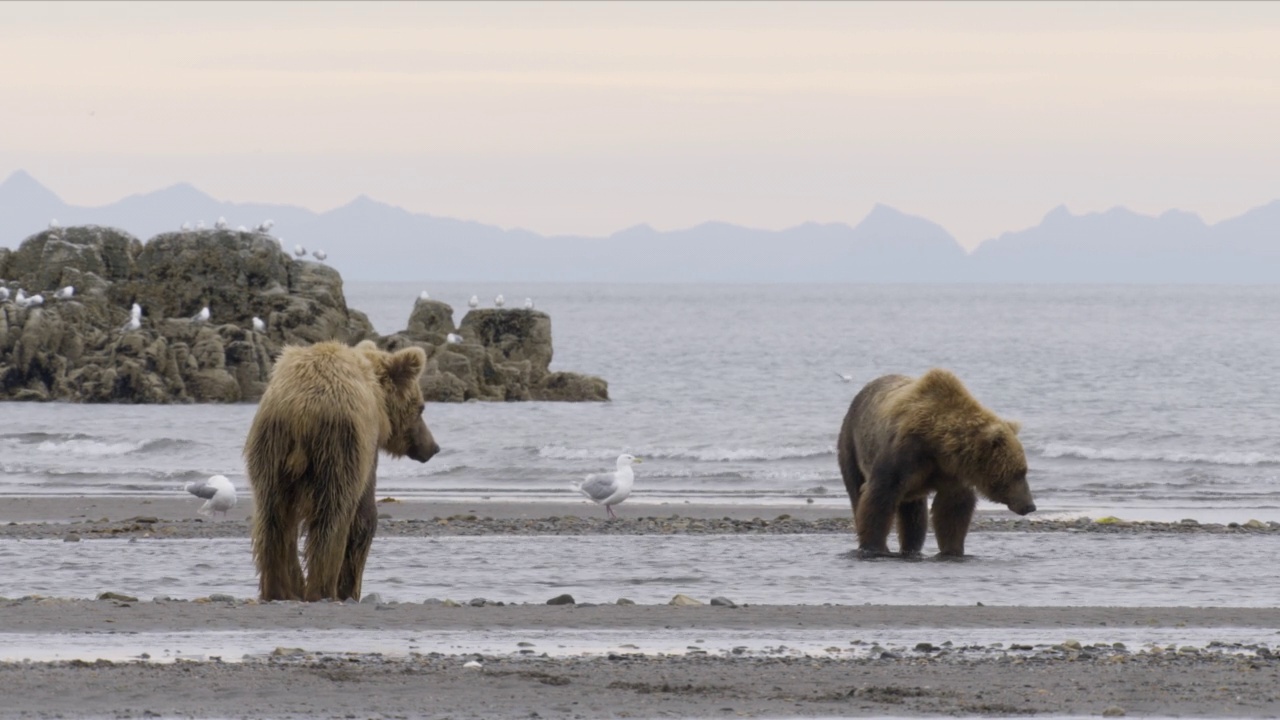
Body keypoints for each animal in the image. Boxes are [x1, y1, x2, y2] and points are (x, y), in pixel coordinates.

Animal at [244, 338, 440, 597]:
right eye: (421, 407)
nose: (433, 447)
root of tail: (300, 414)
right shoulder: (367, 447)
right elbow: (364, 515)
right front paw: (351, 589)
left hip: (270, 447)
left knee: (272, 518)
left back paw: (278, 589)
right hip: (336, 446)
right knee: (332, 517)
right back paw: (323, 589)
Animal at [834, 366, 1034, 558]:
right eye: (1019, 472)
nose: (1030, 505)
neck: (938, 446)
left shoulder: (952, 472)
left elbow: (952, 509)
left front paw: (952, 549)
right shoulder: (905, 454)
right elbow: (880, 496)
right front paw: (874, 547)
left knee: (913, 511)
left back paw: (912, 548)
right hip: (852, 443)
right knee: (857, 490)